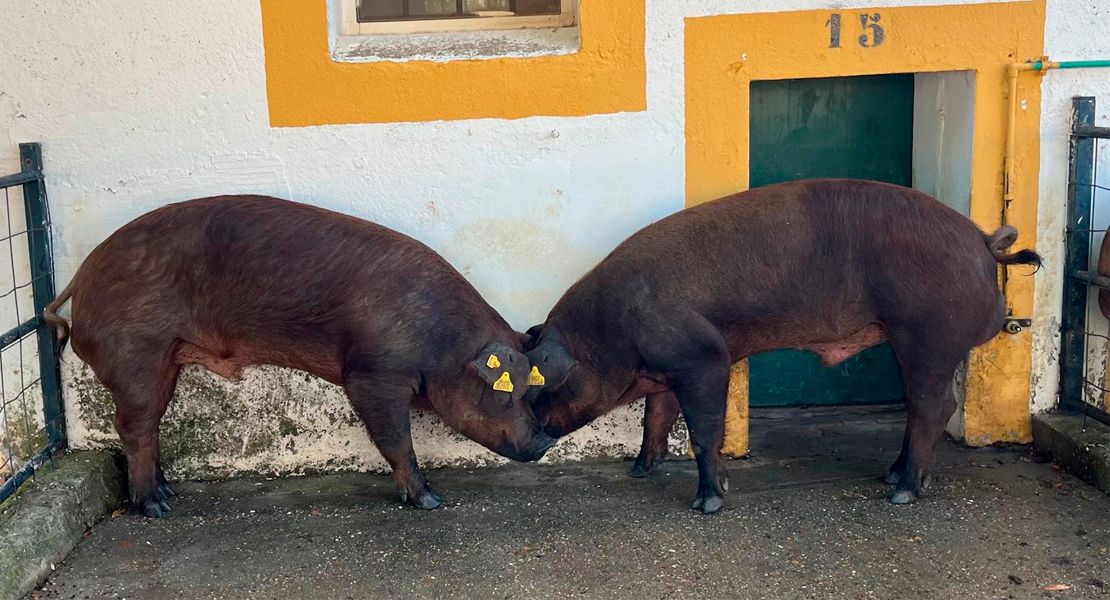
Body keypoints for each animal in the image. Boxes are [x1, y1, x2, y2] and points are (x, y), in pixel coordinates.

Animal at [45, 194, 555, 516]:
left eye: (530, 390)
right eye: (507, 394)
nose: (545, 440)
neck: (440, 344)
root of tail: (81, 277)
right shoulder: (372, 375)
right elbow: (395, 439)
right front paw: (430, 501)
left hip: (166, 361)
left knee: (148, 426)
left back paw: (167, 491)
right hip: (136, 356)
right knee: (133, 427)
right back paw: (156, 507)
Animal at [519, 177, 1038, 510]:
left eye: (539, 387)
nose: (527, 440)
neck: (608, 337)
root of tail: (983, 240)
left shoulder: (704, 358)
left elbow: (703, 430)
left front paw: (708, 503)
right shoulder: (666, 371)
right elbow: (656, 418)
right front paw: (640, 470)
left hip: (927, 332)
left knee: (935, 405)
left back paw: (902, 493)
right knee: (920, 406)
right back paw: (890, 475)